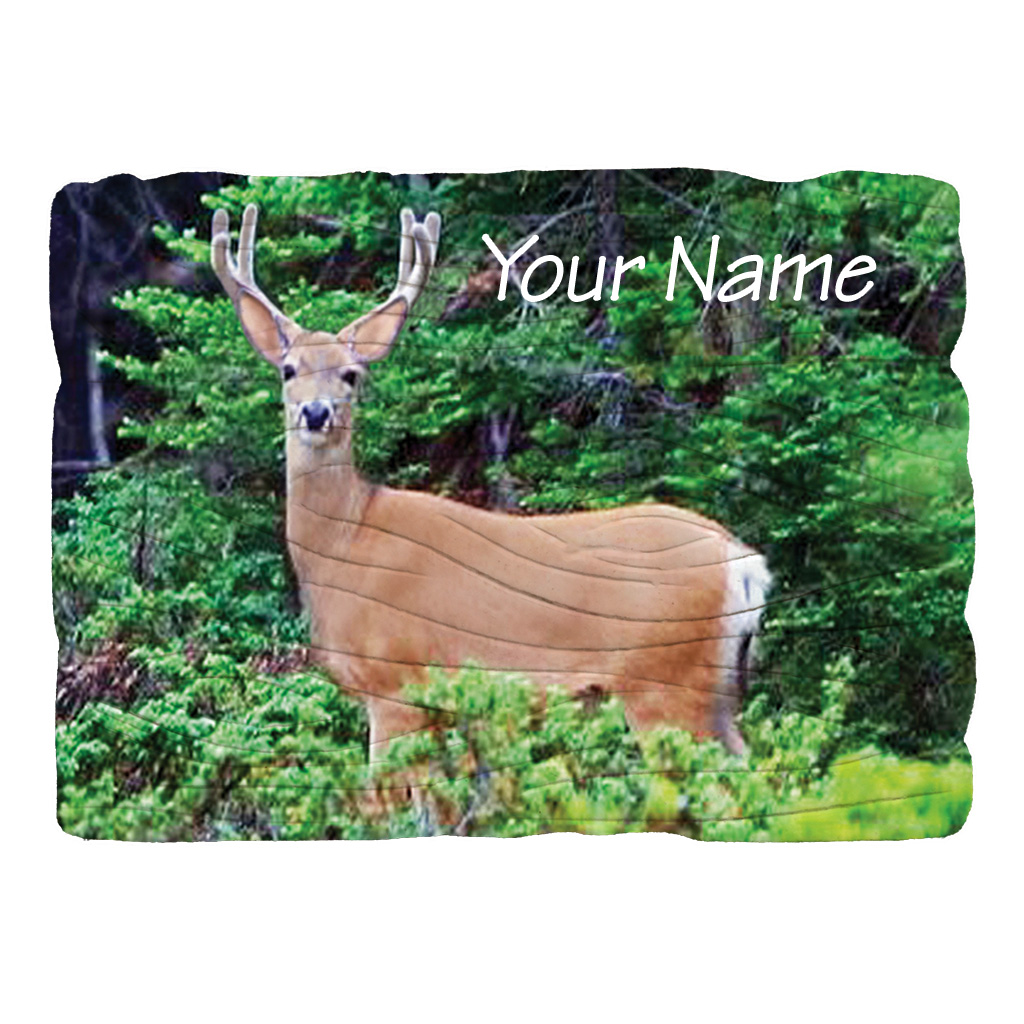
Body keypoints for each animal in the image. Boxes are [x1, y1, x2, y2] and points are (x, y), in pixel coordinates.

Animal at [210, 204, 771, 774]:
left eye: (351, 374)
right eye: (288, 370)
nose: (316, 413)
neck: (344, 543)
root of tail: (744, 564)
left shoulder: (396, 683)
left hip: (665, 679)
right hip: (715, 688)